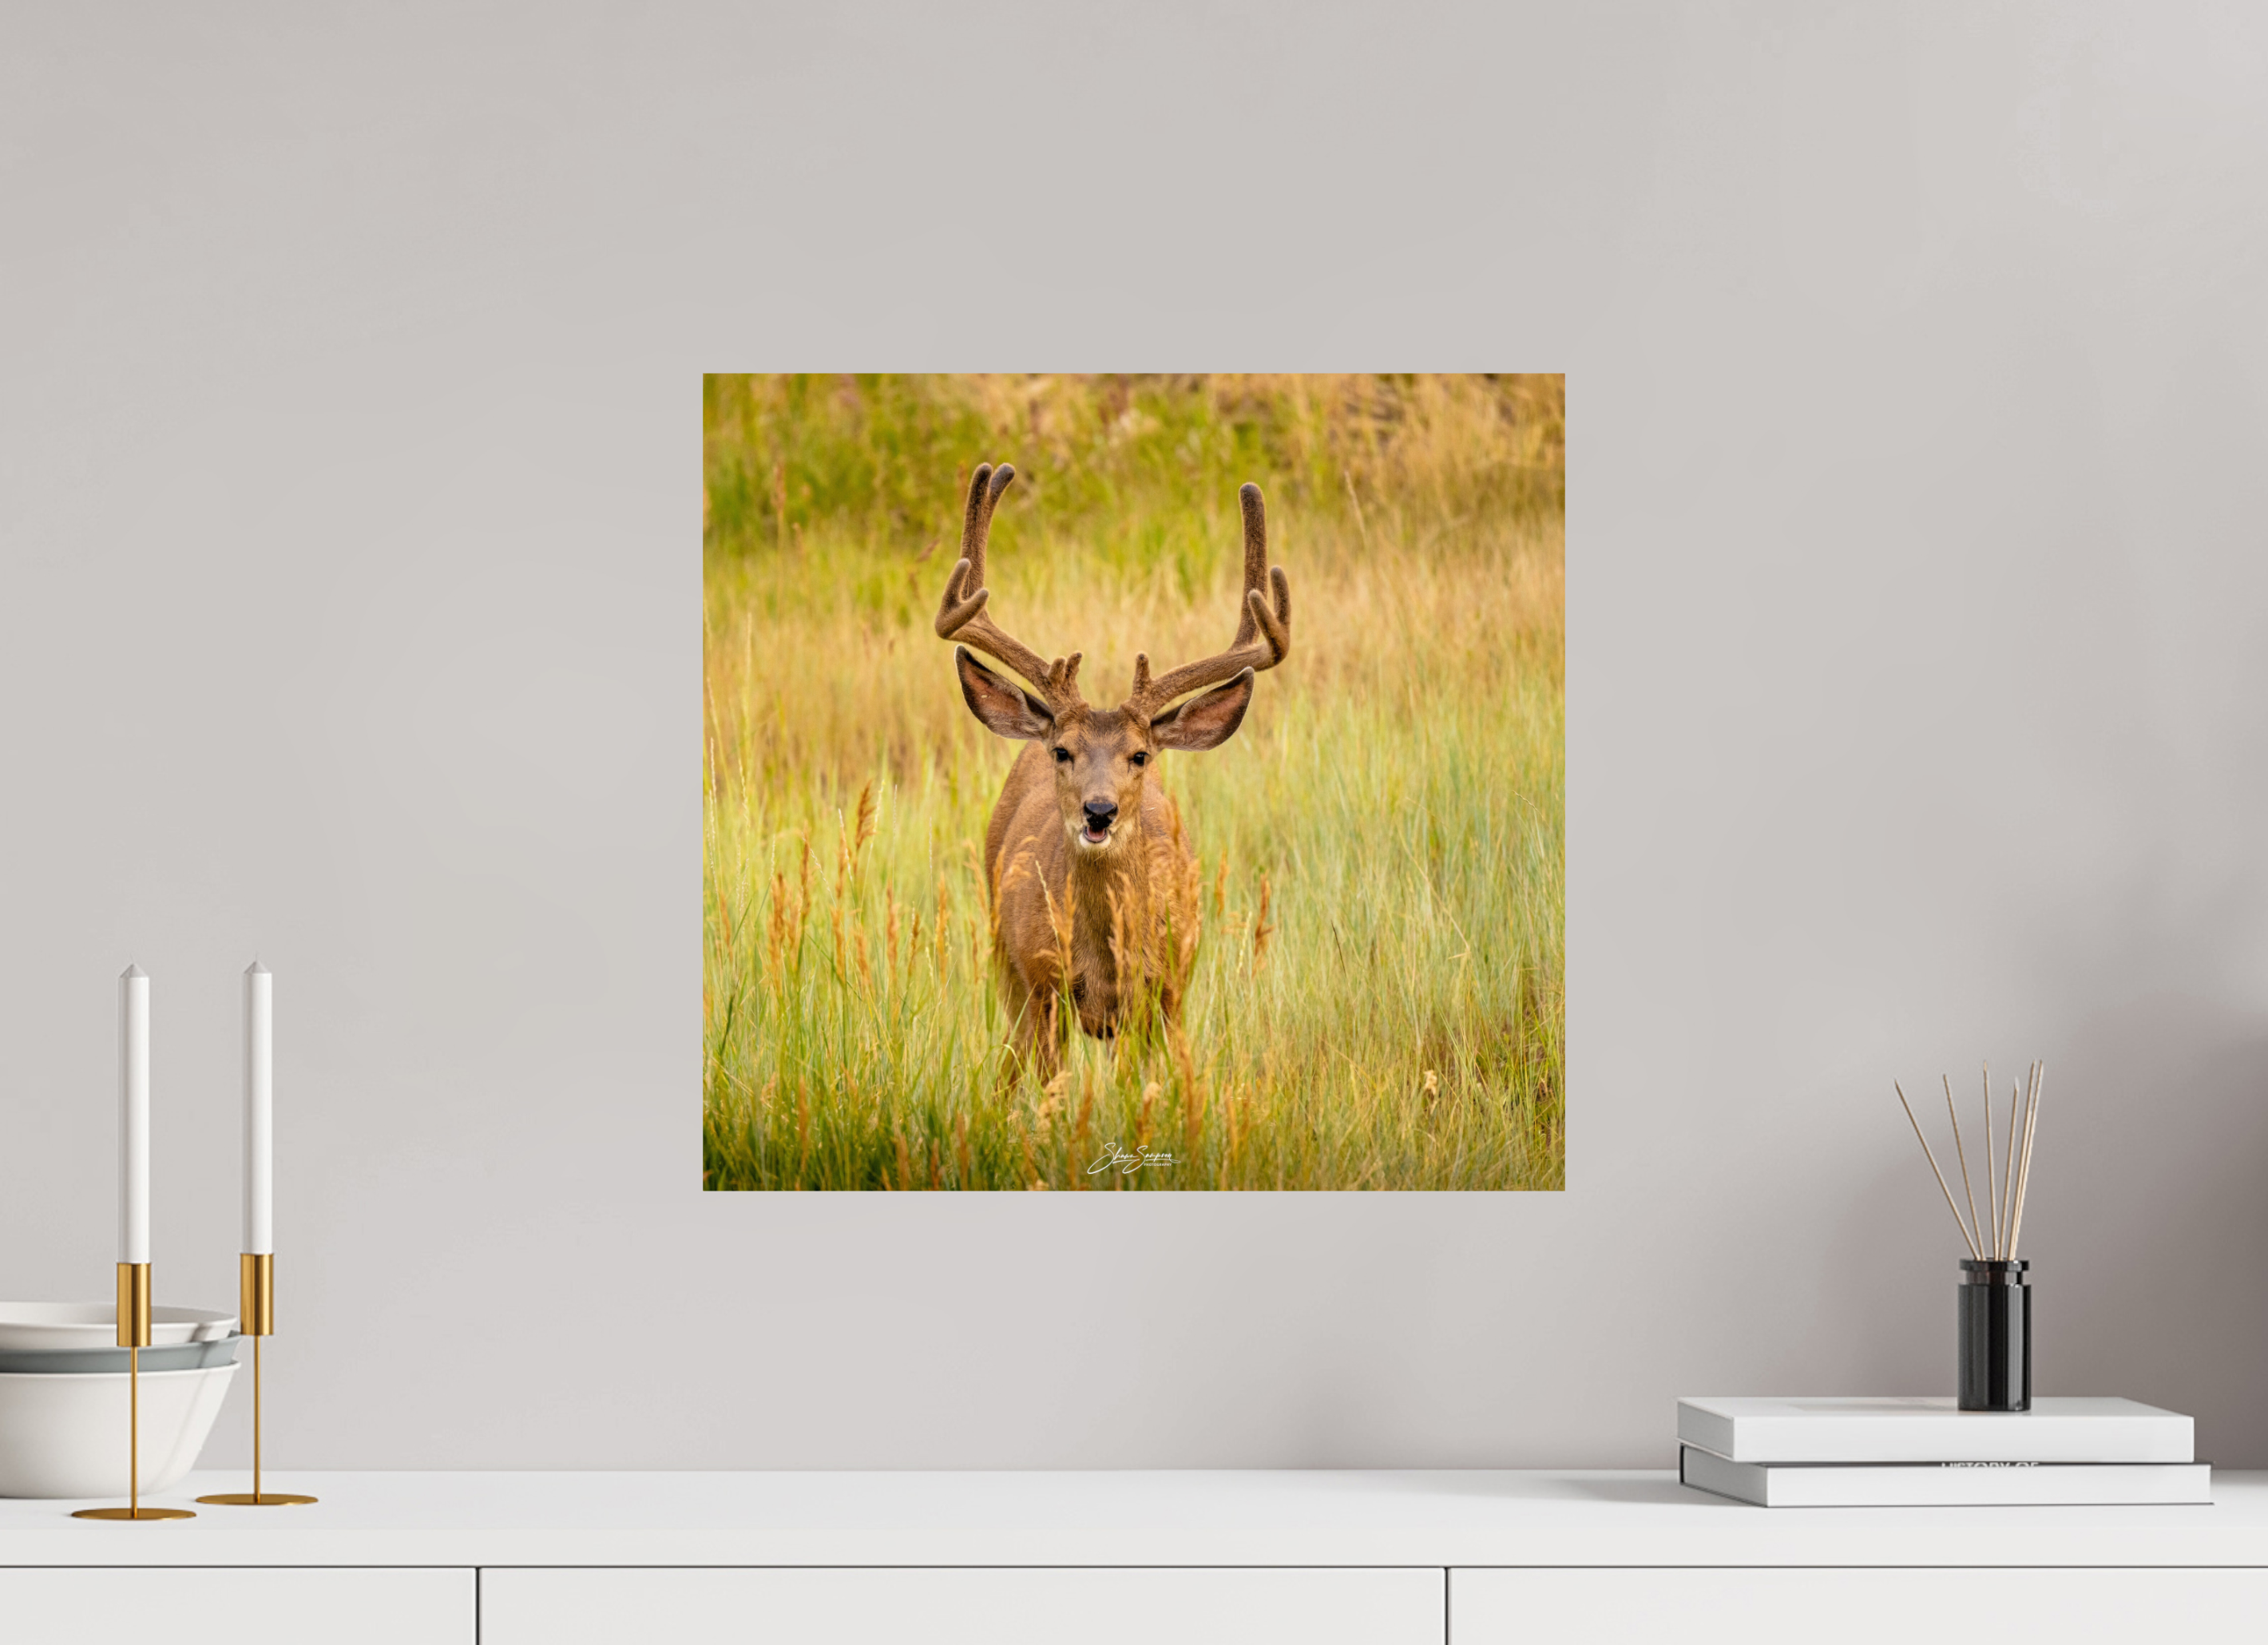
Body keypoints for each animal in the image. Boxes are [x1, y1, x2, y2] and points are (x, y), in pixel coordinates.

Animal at [936, 461, 1292, 1076]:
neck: (1104, 963)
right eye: (1063, 751)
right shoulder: (1042, 988)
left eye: (1140, 755)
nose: (1098, 811)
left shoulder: (1168, 994)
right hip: (1004, 961)